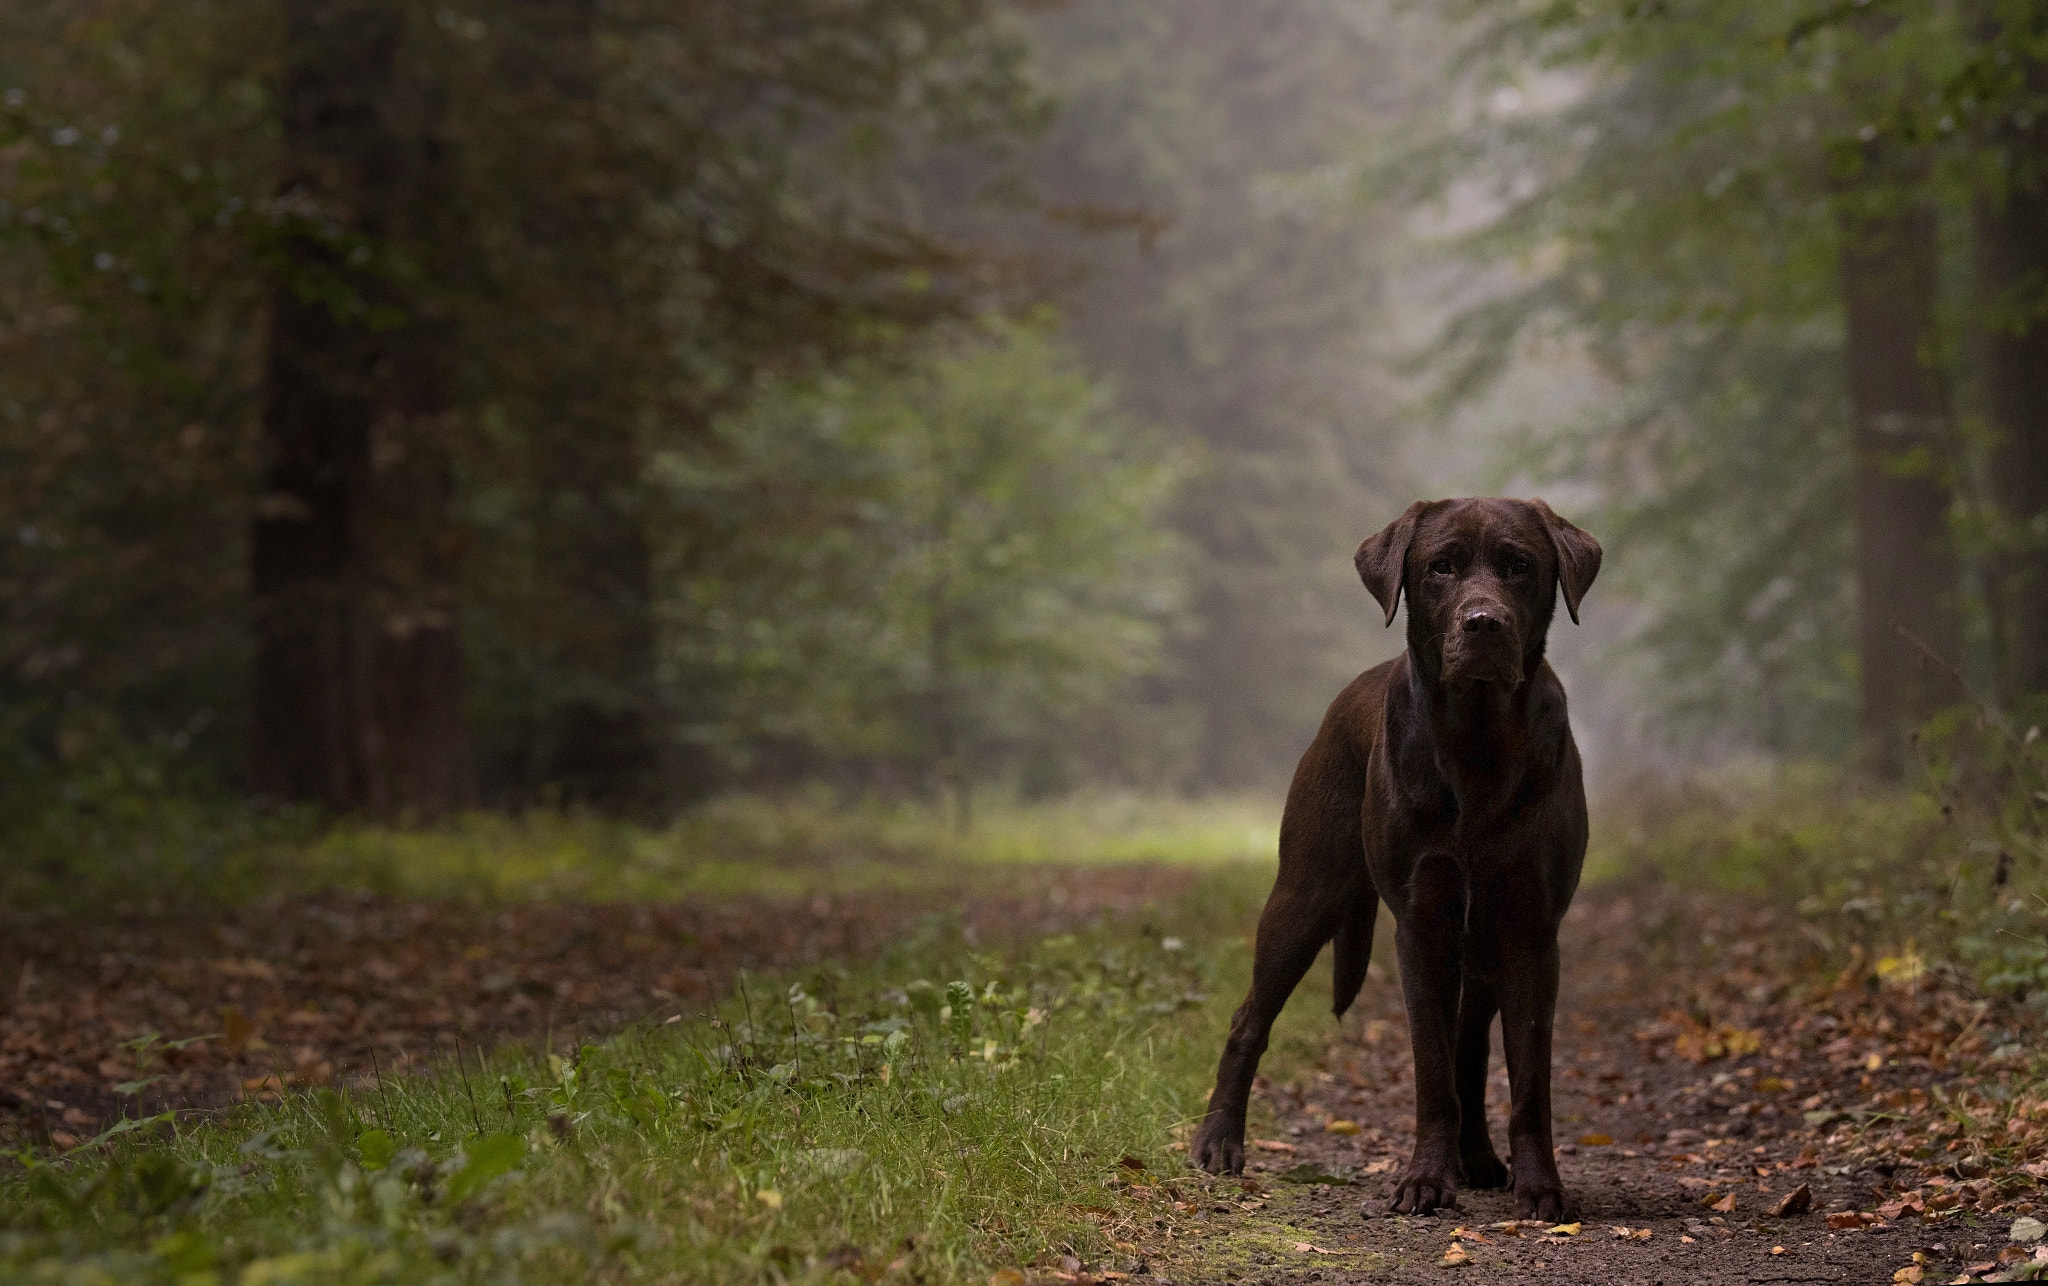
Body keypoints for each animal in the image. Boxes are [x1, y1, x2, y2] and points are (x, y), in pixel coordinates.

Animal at [1187, 497, 1597, 1220]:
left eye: (1520, 565)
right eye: (1441, 568)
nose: (1483, 622)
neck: (1477, 745)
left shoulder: (1530, 932)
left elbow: (1526, 1082)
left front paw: (1540, 1187)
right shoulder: (1421, 925)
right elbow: (1431, 1069)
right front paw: (1425, 1180)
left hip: (1480, 955)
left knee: (1472, 1049)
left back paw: (1478, 1159)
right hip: (1304, 898)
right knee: (1248, 1020)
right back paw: (1219, 1142)